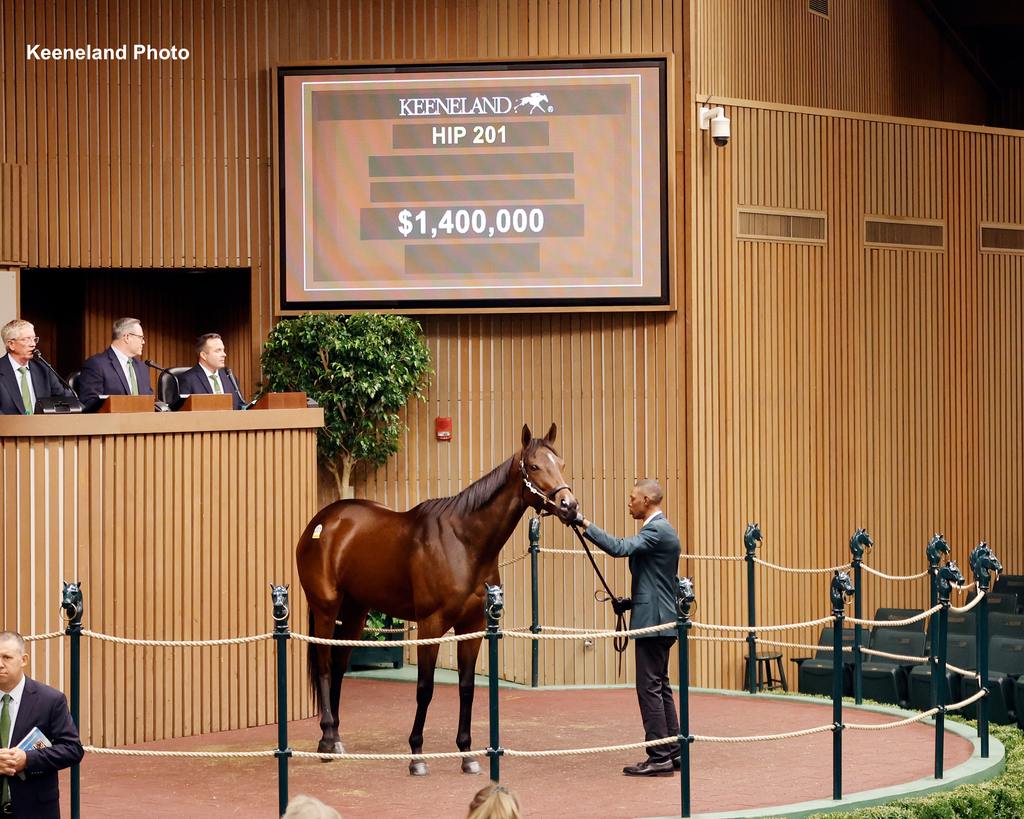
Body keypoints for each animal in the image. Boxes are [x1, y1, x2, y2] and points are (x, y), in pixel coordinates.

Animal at [299, 421, 581, 773]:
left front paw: (467, 754)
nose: (570, 506)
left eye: (561, 463)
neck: (463, 542)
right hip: (325, 608)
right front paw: (417, 754)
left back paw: (336, 737)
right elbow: (425, 688)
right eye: (533, 466)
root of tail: (323, 522)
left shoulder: (473, 627)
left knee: (338, 666)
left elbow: (466, 688)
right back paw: (326, 739)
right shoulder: (430, 625)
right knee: (324, 666)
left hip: (355, 612)